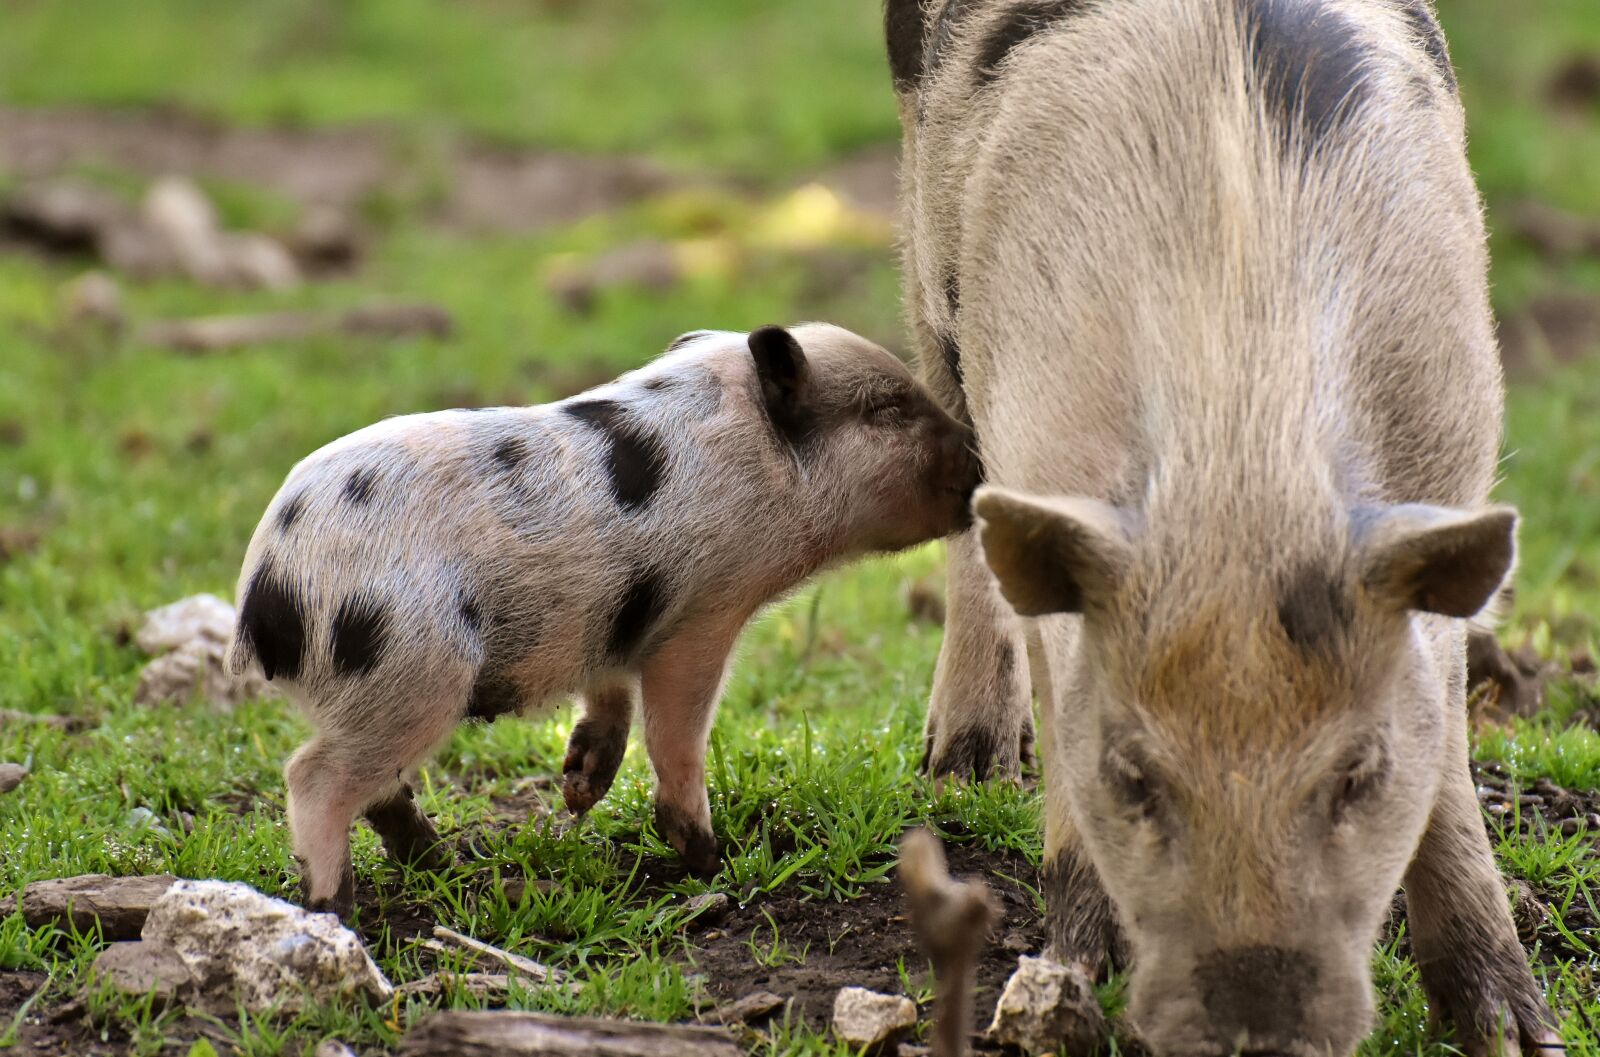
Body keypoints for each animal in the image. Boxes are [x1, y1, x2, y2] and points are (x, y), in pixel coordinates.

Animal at [227, 323, 978, 917]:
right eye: (887, 408)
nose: (978, 456)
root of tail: (266, 594)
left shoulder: (612, 621)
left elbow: (611, 691)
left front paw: (578, 789)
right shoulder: (703, 611)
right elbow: (677, 731)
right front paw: (712, 862)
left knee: (375, 787)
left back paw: (453, 867)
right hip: (412, 669)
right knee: (313, 778)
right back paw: (337, 911)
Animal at [885, 1, 1561, 1055]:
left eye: (1360, 774)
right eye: (1134, 774)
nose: (1256, 1029)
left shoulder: (1449, 448)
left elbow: (1448, 751)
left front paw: (1515, 1035)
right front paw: (1065, 974)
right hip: (928, 250)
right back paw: (964, 771)